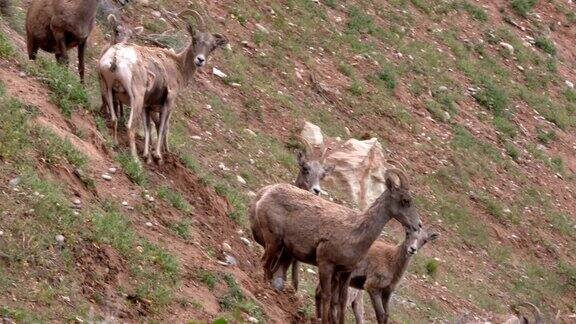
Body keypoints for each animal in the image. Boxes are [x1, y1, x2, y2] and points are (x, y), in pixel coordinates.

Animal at [254, 168, 420, 322]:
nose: (418, 225)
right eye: (405, 200)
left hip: (283, 250)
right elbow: (326, 296)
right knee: (264, 263)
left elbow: (341, 302)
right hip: (273, 242)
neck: (355, 233)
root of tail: (265, 193)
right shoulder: (326, 265)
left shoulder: (345, 273)